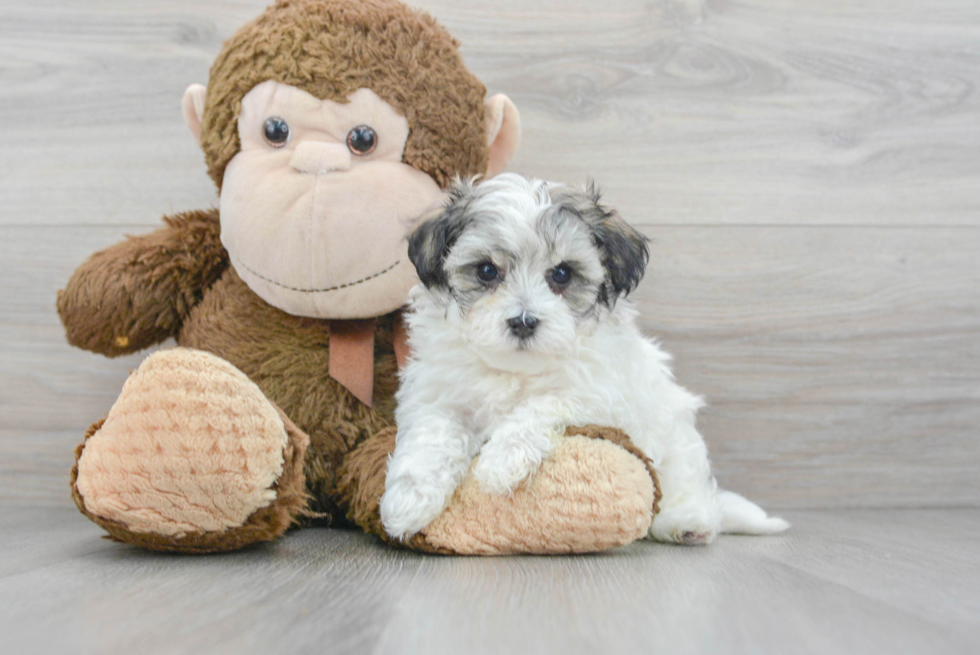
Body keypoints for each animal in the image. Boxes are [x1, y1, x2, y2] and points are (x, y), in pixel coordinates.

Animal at [378, 173, 788, 544]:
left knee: (687, 484)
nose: (523, 321)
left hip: (675, 437)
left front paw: (502, 460)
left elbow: (543, 404)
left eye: (562, 274)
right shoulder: (437, 395)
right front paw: (408, 501)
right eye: (486, 271)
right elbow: (433, 436)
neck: (518, 369)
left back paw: (687, 522)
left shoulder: (598, 393)